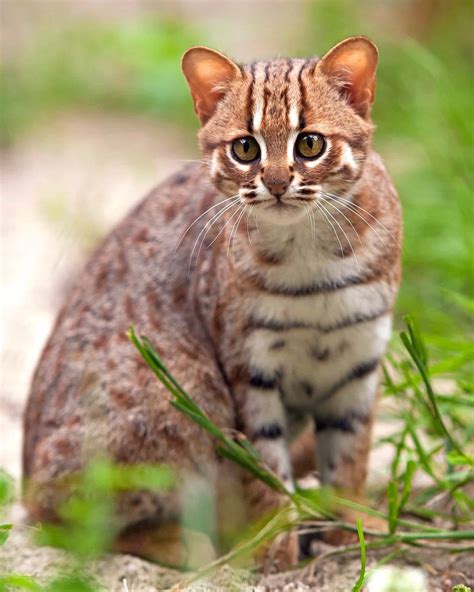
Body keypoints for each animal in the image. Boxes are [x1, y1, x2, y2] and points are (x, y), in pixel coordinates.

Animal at [22, 35, 400, 568]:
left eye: (310, 144)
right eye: (245, 148)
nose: (277, 183)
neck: (310, 252)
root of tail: (25, 477)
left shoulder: (360, 357)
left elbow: (351, 453)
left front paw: (354, 526)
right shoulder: (249, 367)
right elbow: (266, 465)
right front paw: (276, 541)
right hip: (177, 390)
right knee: (65, 521)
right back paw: (192, 542)